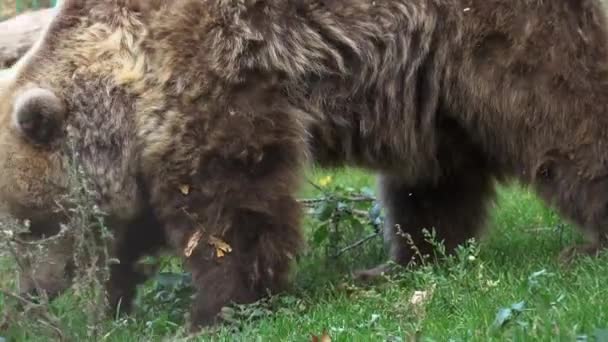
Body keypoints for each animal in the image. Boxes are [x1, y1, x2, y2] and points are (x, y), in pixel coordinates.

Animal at [1, 0, 608, 332]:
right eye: (17, 229)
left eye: (36, 223)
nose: (34, 291)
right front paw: (114, 299)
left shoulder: (219, 72)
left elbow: (231, 208)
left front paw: (212, 312)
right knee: (432, 174)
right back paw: (400, 262)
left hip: (494, 32)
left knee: (560, 108)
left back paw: (586, 243)